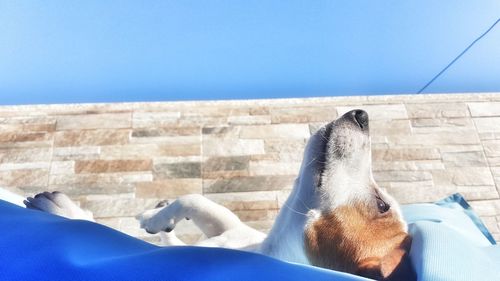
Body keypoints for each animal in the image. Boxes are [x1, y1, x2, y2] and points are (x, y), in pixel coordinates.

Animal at [22, 109, 414, 280]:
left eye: (382, 205)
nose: (362, 113)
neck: (264, 247)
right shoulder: (230, 227)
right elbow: (194, 199)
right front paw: (155, 217)